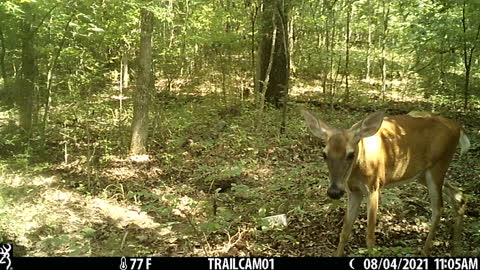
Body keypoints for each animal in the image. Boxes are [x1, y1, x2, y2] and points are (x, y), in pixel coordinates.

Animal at [300, 109, 468, 255]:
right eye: (324, 154)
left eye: (350, 154)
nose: (334, 191)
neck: (359, 166)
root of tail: (458, 127)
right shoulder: (354, 191)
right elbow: (345, 232)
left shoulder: (374, 186)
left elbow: (370, 237)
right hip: (422, 174)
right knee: (458, 195)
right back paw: (457, 248)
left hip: (438, 166)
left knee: (438, 208)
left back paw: (425, 252)